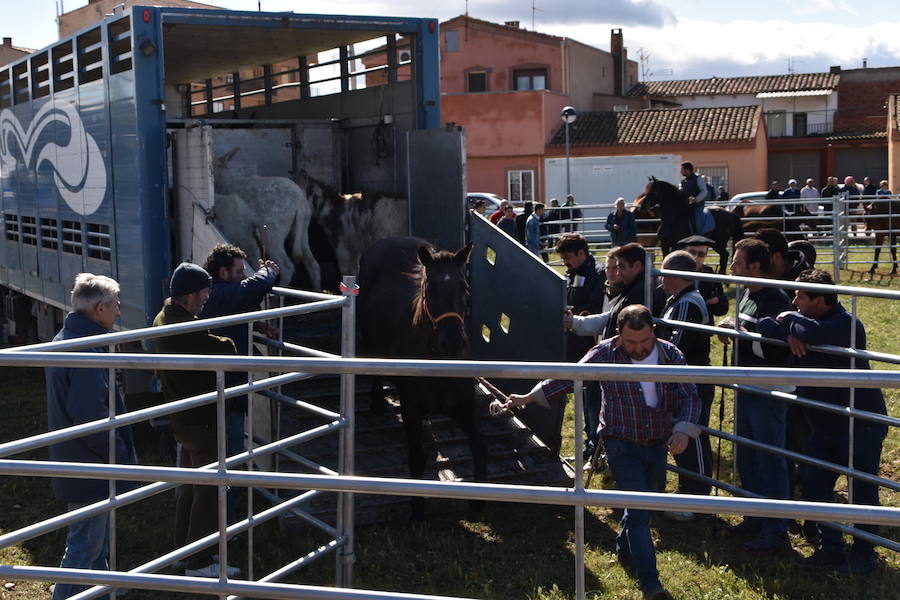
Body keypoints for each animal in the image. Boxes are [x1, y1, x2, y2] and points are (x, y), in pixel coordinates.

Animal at [213, 149, 322, 290]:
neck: (223, 182)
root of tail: (300, 205)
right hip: (301, 230)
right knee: (312, 264)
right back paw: (317, 289)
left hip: (273, 232)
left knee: (287, 266)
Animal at [356, 237, 486, 516]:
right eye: (430, 288)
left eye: (465, 288)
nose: (453, 342)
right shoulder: (411, 408)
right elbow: (416, 458)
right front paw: (417, 509)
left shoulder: (464, 406)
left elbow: (480, 446)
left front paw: (479, 500)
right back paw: (377, 404)